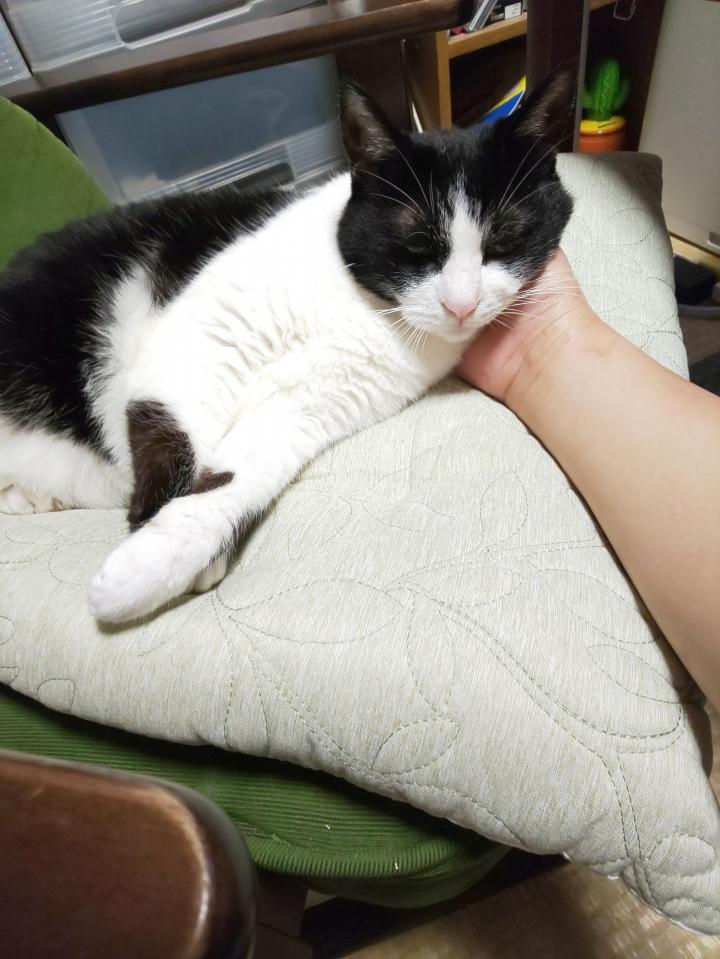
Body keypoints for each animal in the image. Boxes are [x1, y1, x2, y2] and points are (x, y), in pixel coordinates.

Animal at [0, 73, 573, 623]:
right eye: (417, 245)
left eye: (505, 242)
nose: (461, 306)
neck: (355, 300)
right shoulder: (202, 335)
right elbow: (171, 430)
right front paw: (150, 536)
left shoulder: (308, 405)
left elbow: (242, 473)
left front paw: (156, 564)